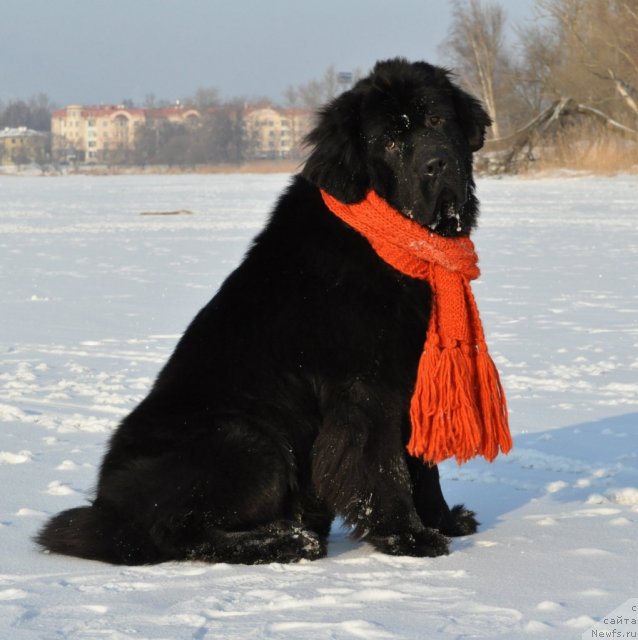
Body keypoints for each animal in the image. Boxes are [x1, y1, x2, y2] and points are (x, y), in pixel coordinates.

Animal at [37, 57, 492, 564]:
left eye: (436, 120)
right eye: (391, 142)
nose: (438, 164)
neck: (390, 243)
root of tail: (109, 509)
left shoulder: (412, 376)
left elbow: (421, 465)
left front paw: (443, 521)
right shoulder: (365, 388)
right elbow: (383, 467)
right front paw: (407, 537)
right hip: (251, 443)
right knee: (179, 533)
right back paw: (286, 540)